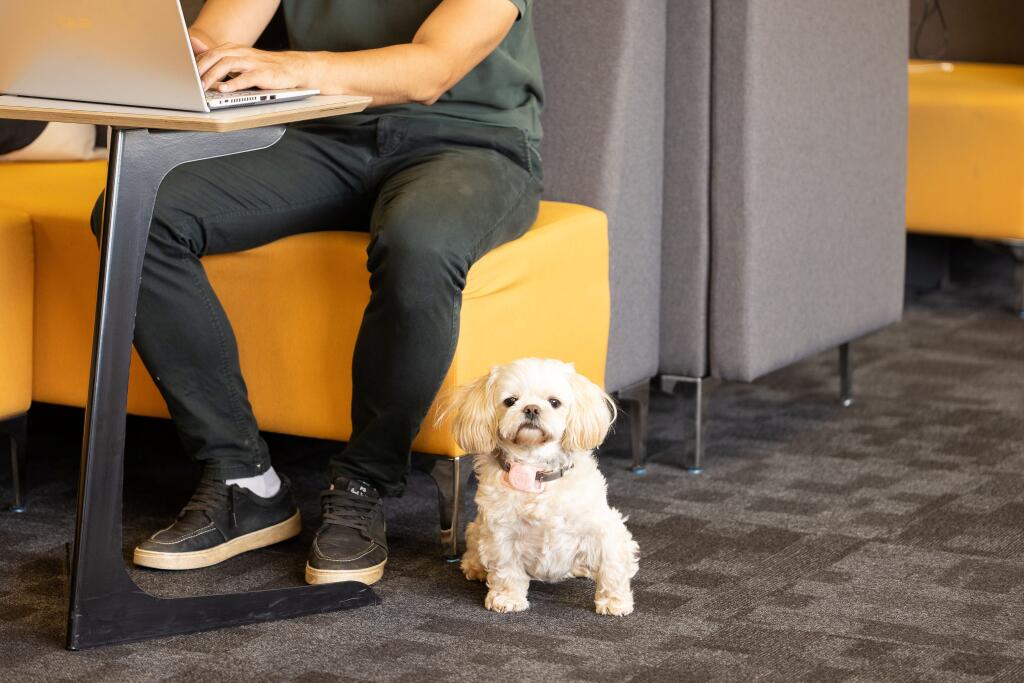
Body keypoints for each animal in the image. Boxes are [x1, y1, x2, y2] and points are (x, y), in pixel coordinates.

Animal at [440, 358, 639, 615]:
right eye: (510, 401)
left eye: (554, 402)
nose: (532, 409)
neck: (534, 471)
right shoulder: (502, 534)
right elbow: (506, 570)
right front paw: (507, 598)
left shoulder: (604, 529)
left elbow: (612, 565)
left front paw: (614, 601)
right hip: (478, 528)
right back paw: (475, 567)